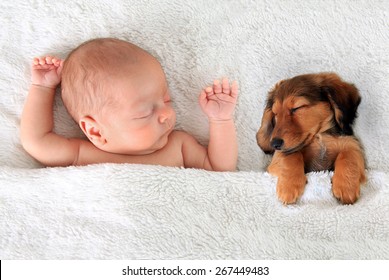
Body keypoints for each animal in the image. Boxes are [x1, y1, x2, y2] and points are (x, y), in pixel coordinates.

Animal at [256, 72, 366, 203]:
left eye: (297, 108)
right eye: (275, 113)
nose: (274, 144)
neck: (319, 136)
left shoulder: (352, 144)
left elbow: (348, 156)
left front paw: (346, 187)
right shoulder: (279, 157)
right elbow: (291, 156)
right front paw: (289, 187)